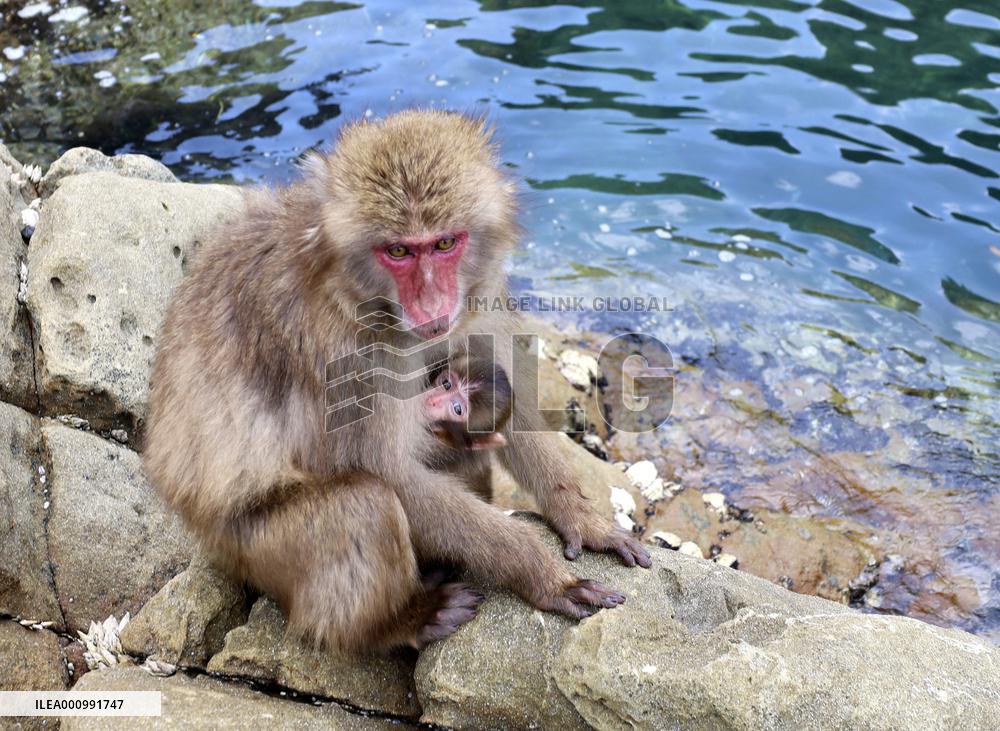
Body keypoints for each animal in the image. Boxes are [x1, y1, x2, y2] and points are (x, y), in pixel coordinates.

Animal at [145, 109, 651, 654]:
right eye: (399, 251)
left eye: (445, 243)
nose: (431, 306)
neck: (363, 297)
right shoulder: (342, 356)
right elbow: (390, 472)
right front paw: (539, 572)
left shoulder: (476, 301)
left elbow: (508, 396)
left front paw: (582, 518)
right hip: (247, 548)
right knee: (364, 504)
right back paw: (398, 623)